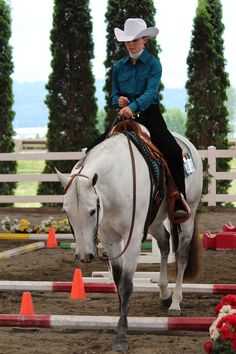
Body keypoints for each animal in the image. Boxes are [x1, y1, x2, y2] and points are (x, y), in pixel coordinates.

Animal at [56, 129, 203, 352]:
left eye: (92, 211)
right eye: (66, 211)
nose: (84, 255)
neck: (115, 183)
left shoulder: (132, 237)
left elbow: (126, 284)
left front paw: (121, 336)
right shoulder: (109, 238)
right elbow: (117, 280)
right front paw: (120, 315)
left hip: (188, 215)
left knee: (181, 258)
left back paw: (175, 303)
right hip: (154, 221)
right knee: (164, 243)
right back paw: (164, 294)